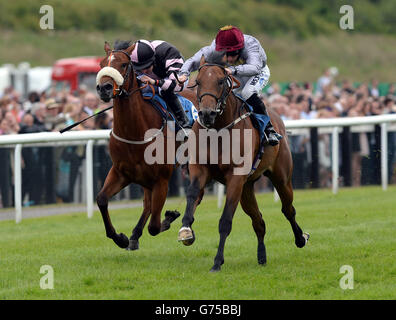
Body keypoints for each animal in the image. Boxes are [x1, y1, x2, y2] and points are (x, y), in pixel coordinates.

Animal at [94, 40, 196, 250]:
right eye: (101, 64)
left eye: (124, 64)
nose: (104, 88)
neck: (135, 131)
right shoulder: (121, 172)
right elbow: (101, 199)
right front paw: (121, 238)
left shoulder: (162, 180)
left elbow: (155, 226)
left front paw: (170, 217)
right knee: (148, 205)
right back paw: (134, 235)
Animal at [176, 55, 310, 272]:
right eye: (198, 82)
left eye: (220, 81)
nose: (206, 114)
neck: (219, 130)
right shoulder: (200, 168)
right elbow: (192, 194)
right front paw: (186, 230)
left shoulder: (236, 178)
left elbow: (225, 220)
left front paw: (217, 262)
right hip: (247, 189)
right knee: (259, 221)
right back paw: (262, 256)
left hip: (281, 178)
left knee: (288, 209)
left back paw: (300, 238)